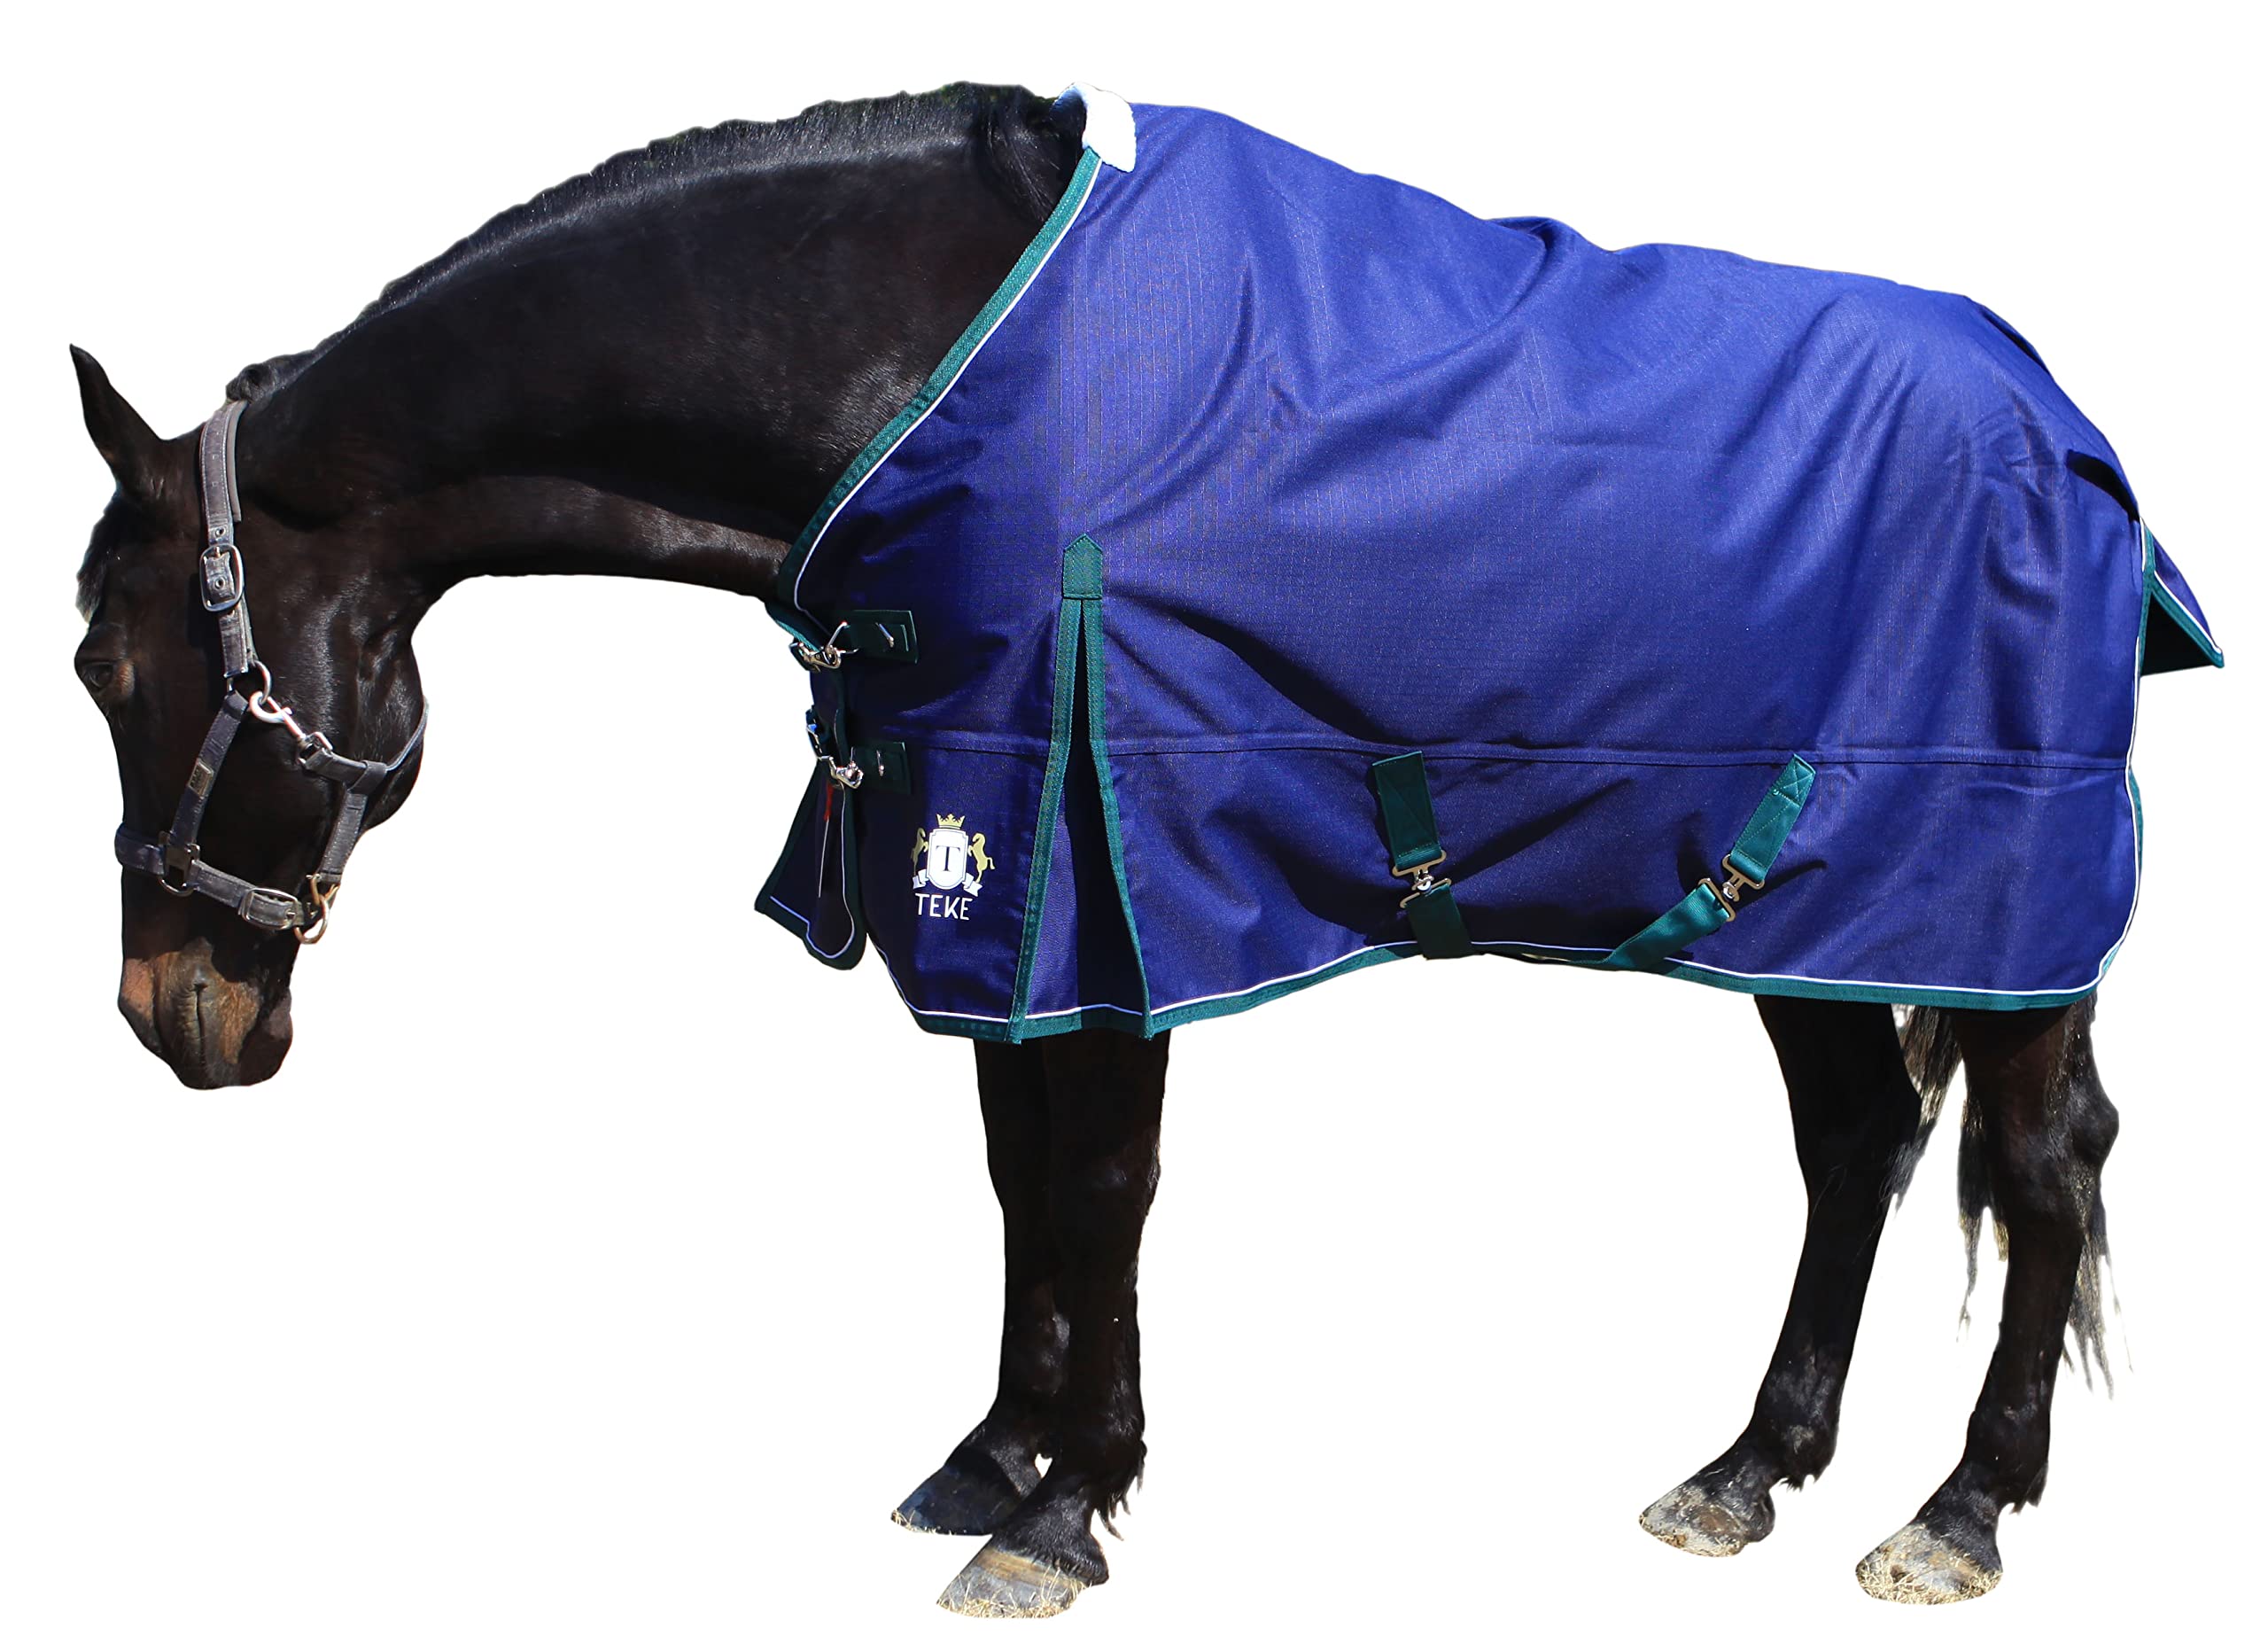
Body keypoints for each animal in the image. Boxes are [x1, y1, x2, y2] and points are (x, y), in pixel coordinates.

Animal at [68, 82, 2208, 1617]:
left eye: (108, 661)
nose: (175, 1017)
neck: (940, 378)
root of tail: (2059, 421)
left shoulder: (1094, 867)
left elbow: (1095, 1186)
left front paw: (1064, 1507)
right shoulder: (996, 873)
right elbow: (1022, 1179)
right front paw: (994, 1451)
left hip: (1985, 894)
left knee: (2037, 1167)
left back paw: (1958, 1509)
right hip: (1805, 907)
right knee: (1856, 1140)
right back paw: (1745, 1469)